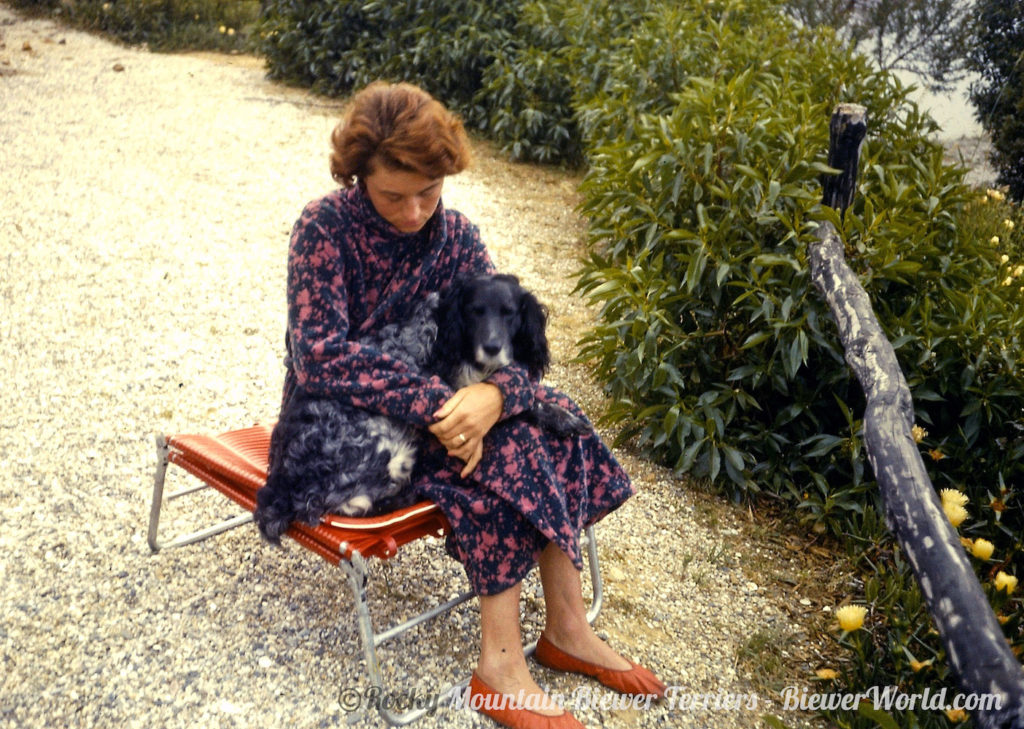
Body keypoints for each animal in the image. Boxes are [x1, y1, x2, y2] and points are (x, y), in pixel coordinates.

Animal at [256, 276, 589, 544]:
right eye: (475, 311)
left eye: (509, 313)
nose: (493, 348)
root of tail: (279, 485)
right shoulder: (457, 395)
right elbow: (526, 405)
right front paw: (561, 417)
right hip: (393, 449)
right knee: (359, 505)